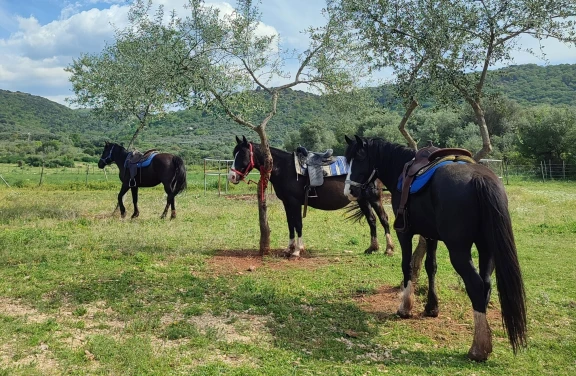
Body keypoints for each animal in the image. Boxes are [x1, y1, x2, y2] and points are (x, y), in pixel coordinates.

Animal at [227, 137, 394, 258]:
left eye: (242, 155)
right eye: (234, 154)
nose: (232, 177)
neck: (285, 168)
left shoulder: (295, 203)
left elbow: (298, 224)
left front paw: (297, 250)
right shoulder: (287, 203)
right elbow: (290, 225)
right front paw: (289, 249)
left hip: (374, 198)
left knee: (384, 219)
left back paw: (389, 249)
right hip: (362, 200)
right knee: (372, 220)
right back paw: (372, 248)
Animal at [342, 135, 528, 362]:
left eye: (359, 158)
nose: (349, 191)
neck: (401, 170)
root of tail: (479, 178)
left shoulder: (404, 232)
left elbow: (407, 266)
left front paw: (405, 307)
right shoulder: (430, 235)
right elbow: (431, 267)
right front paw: (431, 307)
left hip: (459, 251)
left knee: (475, 285)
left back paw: (478, 348)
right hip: (487, 247)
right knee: (486, 284)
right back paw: (484, 338)